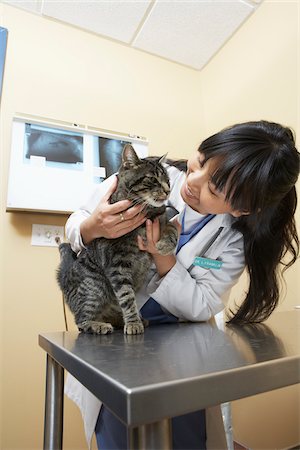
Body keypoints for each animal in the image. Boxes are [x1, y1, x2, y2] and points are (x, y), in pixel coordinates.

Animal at [56, 144, 178, 334]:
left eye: (168, 180)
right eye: (153, 179)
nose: (168, 190)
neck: (146, 211)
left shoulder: (163, 219)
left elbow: (172, 230)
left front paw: (164, 246)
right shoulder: (117, 263)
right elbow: (127, 297)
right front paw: (133, 323)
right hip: (94, 287)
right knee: (81, 320)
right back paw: (99, 325)